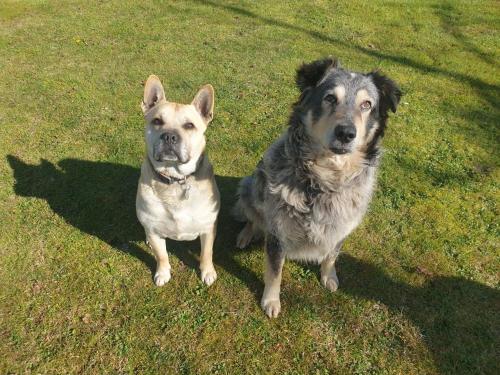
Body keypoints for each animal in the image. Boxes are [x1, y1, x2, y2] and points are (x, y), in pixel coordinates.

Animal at [138, 76, 222, 288]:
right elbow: (161, 255)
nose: (169, 136)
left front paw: (207, 272)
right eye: (157, 121)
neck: (175, 180)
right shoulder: (154, 230)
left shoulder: (208, 228)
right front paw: (162, 272)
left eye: (189, 126)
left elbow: (207, 253)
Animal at [234, 57, 402, 318]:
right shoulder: (277, 232)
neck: (324, 181)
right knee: (253, 217)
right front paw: (270, 301)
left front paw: (328, 277)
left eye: (367, 104)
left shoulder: (341, 227)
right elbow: (274, 271)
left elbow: (331, 255)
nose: (346, 133)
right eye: (330, 98)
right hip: (251, 186)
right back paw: (245, 235)